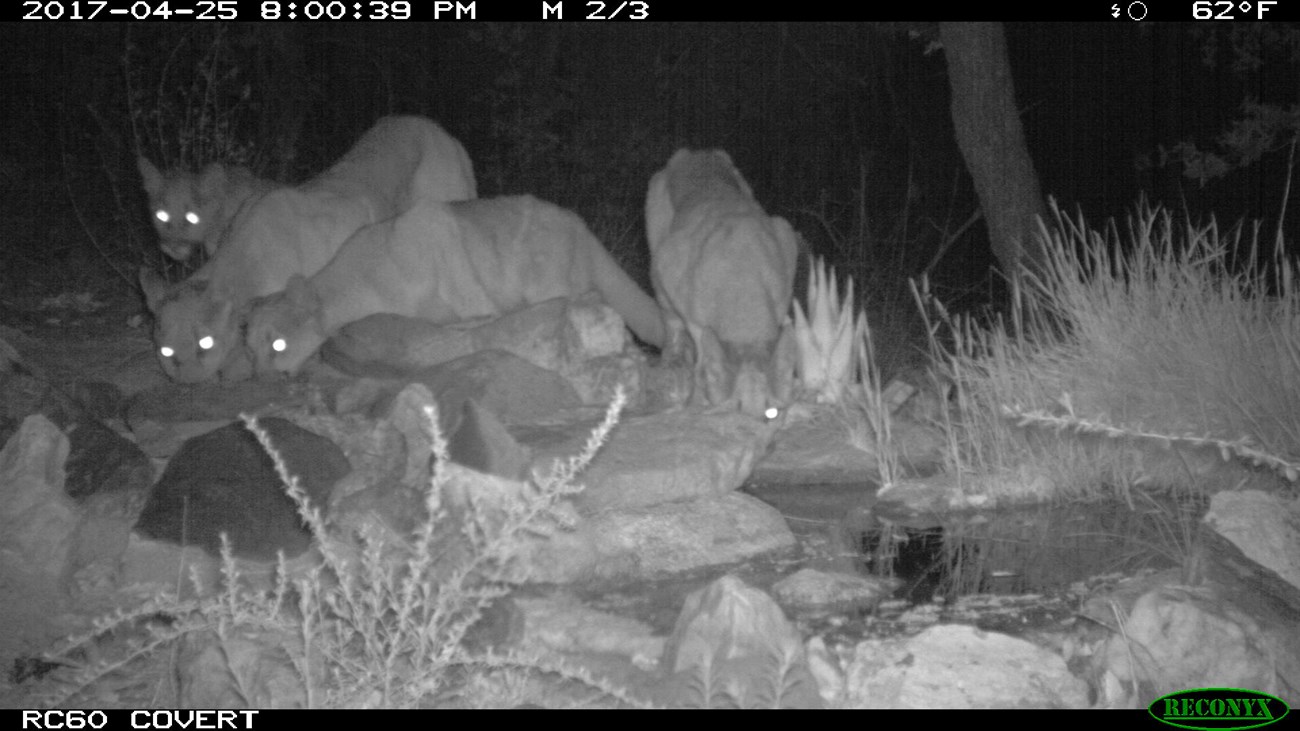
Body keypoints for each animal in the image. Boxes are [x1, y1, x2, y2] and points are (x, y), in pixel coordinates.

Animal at [644, 149, 795, 416]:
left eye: (770, 410)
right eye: (737, 407)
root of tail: (693, 153)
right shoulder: (691, 314)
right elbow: (702, 359)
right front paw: (696, 398)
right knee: (671, 326)